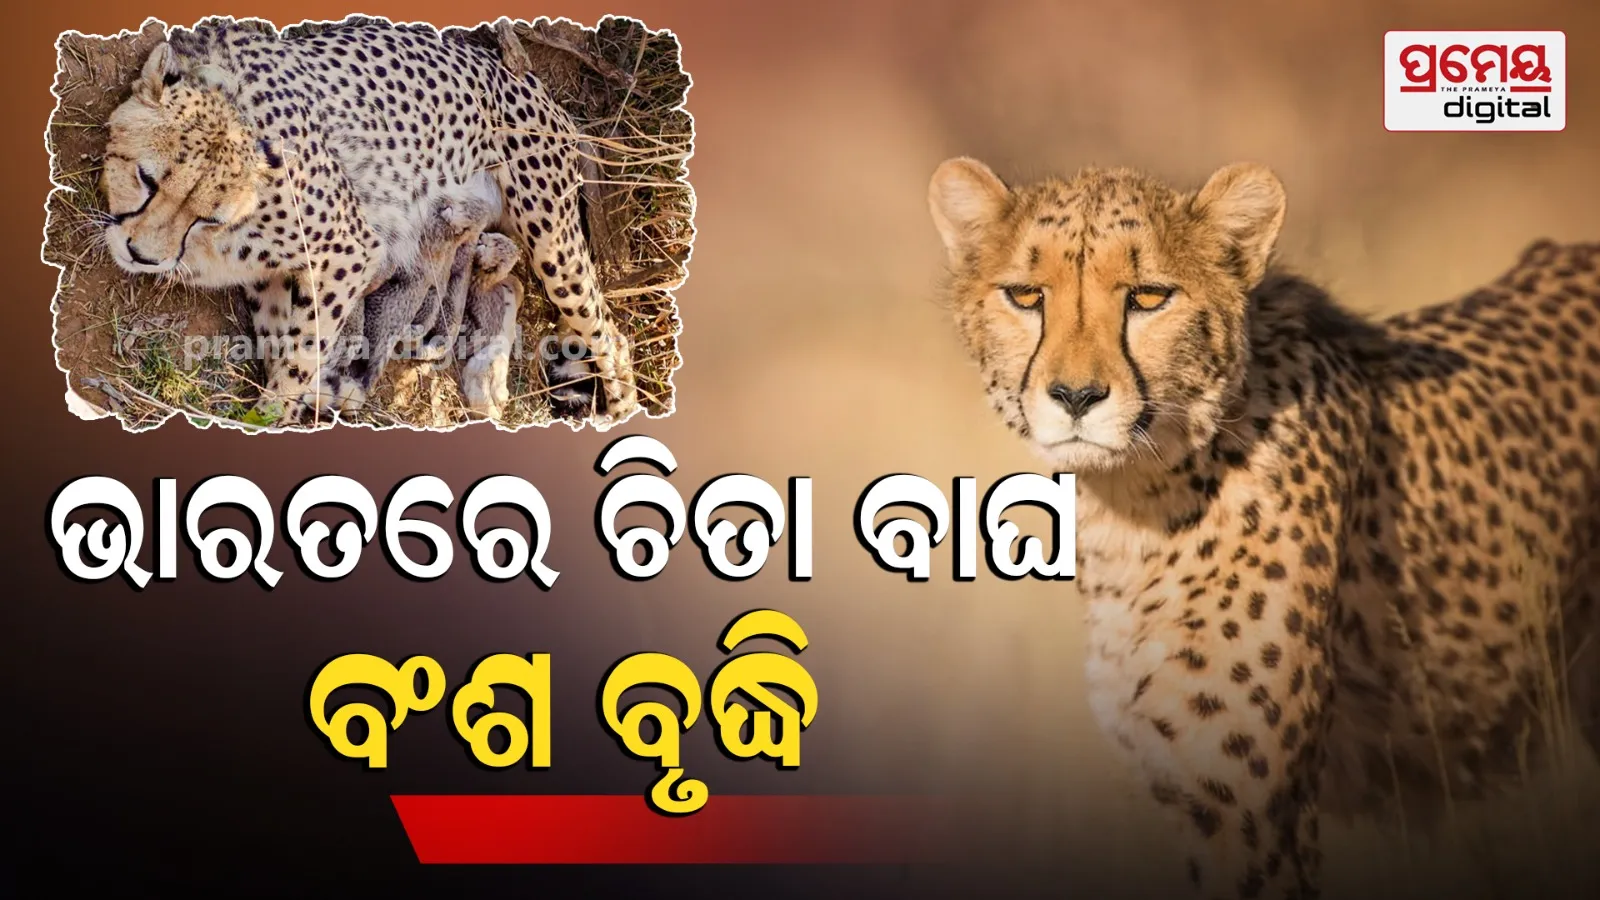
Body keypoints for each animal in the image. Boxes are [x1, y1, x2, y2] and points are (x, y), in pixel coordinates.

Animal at [97, 15, 637, 427]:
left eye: (207, 215)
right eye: (146, 179)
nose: (142, 256)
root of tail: (526, 79)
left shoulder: (350, 249)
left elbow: (301, 353)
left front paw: (275, 413)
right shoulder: (274, 277)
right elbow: (279, 340)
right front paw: (321, 391)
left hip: (553, 239)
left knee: (611, 337)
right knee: (510, 285)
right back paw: (487, 378)